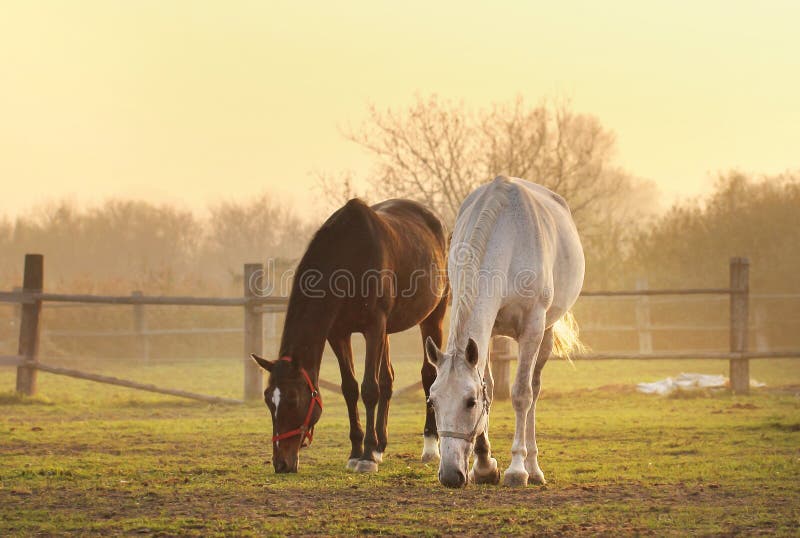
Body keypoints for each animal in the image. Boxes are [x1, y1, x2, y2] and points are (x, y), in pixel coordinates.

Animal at [253, 197, 446, 468]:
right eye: (269, 400)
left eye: (293, 399)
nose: (281, 463)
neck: (349, 255)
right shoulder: (339, 334)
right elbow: (350, 389)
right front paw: (357, 451)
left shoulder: (373, 327)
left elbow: (369, 389)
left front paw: (366, 456)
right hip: (387, 331)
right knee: (388, 378)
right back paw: (381, 445)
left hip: (432, 316)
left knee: (429, 374)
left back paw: (430, 446)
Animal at [424, 176, 588, 486]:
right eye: (432, 401)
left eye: (469, 402)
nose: (450, 475)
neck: (507, 239)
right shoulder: (485, 334)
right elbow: (487, 384)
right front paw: (484, 466)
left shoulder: (532, 328)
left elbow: (521, 394)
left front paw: (516, 469)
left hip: (545, 333)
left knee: (534, 390)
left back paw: (533, 468)